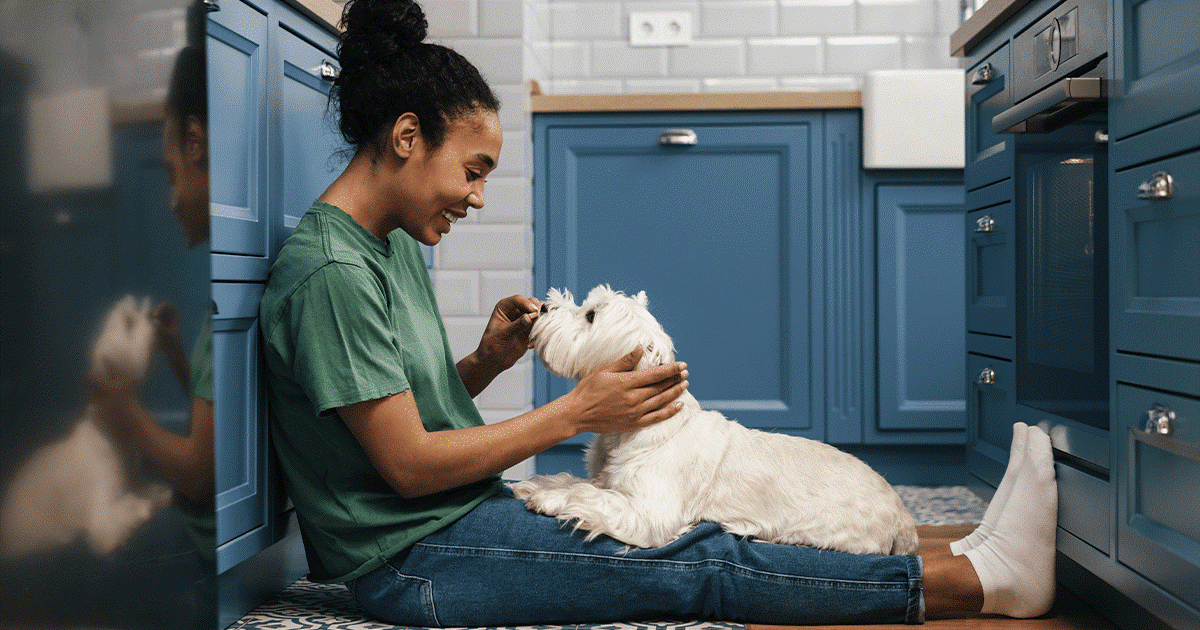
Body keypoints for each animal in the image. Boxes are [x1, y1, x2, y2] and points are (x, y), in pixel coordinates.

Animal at [513, 285, 916, 554]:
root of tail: (902, 514)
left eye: (591, 315)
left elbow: (591, 496)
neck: (636, 429)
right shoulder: (609, 479)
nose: (543, 306)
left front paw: (551, 499)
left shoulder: (649, 512)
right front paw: (539, 486)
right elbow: (579, 481)